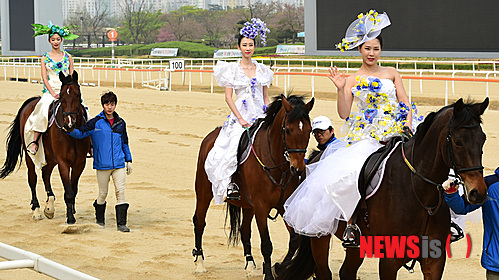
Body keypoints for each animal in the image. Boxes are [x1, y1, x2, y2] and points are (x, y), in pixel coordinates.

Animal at [0, 71, 91, 224]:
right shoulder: (63, 162)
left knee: (45, 174)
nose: (69, 123)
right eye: (61, 96)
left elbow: (74, 189)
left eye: (78, 95)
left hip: (51, 158)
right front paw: (70, 218)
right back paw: (36, 210)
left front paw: (71, 211)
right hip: (30, 157)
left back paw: (49, 207)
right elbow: (68, 191)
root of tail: (32, 102)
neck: (72, 134)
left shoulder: (80, 162)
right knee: (32, 179)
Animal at [193, 95, 314, 278]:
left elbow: (294, 240)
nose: (298, 169)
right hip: (204, 193)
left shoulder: (283, 205)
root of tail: (210, 137)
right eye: (288, 130)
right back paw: (200, 263)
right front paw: (269, 274)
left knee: (244, 230)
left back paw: (250, 265)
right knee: (199, 222)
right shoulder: (261, 207)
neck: (277, 166)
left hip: (247, 204)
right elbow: (266, 244)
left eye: (310, 130)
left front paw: (278, 268)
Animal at [278, 97, 492, 278]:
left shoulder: (434, 261)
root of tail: (315, 156)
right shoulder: (390, 261)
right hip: (319, 235)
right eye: (457, 141)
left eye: (483, 139)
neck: (421, 195)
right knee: (324, 272)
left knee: (347, 272)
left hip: (356, 245)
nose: (478, 192)